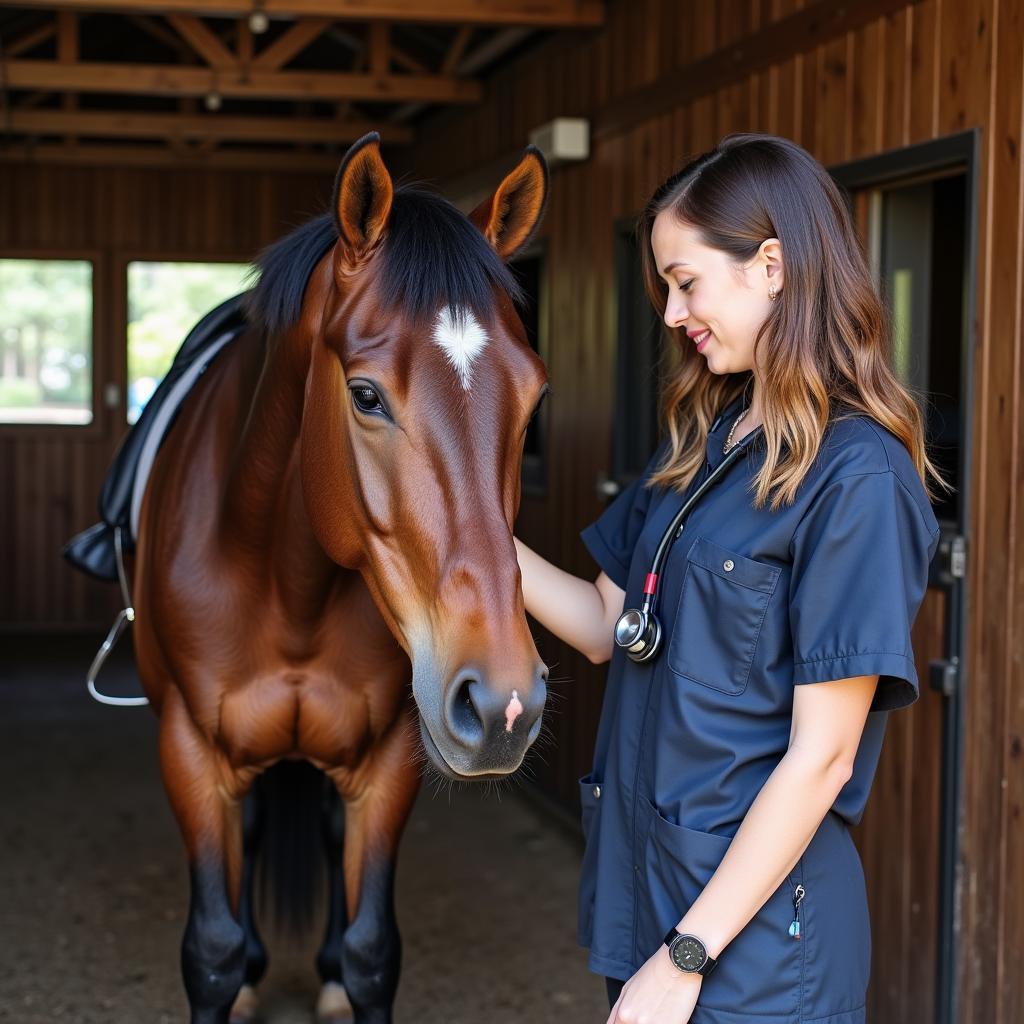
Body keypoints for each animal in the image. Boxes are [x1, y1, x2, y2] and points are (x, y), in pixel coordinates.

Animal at [133, 136, 557, 1024]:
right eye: (365, 395)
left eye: (533, 396)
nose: (504, 704)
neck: (288, 587)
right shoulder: (188, 751)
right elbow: (211, 953)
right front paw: (238, 969)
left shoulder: (387, 759)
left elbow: (372, 953)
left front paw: (340, 967)